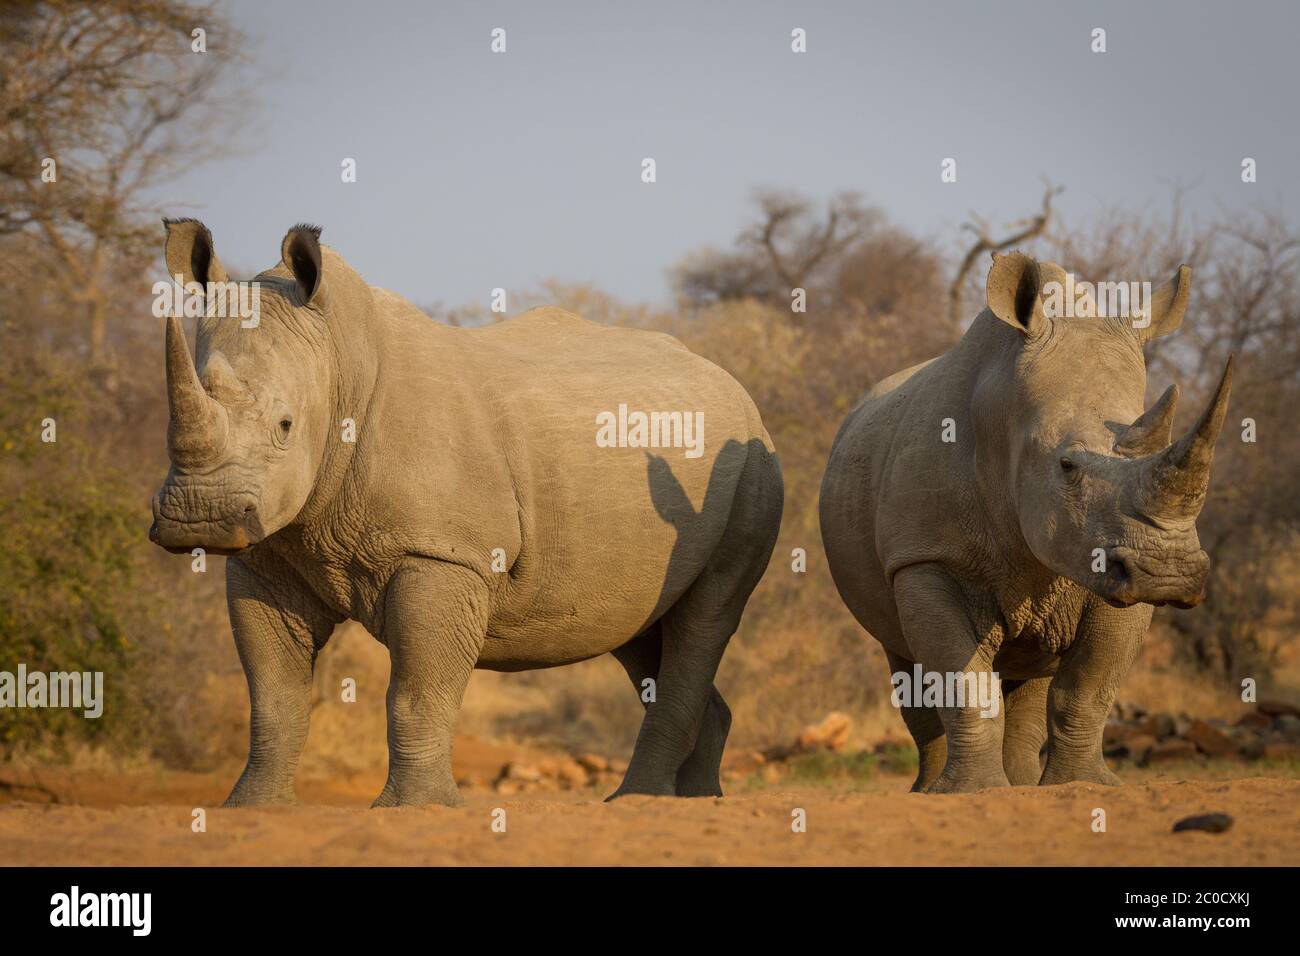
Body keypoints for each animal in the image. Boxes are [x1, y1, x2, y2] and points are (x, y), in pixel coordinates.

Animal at [152, 218, 780, 806]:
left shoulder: (442, 554)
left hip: (751, 469)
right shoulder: (266, 553)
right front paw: (249, 807)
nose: (199, 517)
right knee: (642, 625)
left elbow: (416, 692)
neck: (339, 361)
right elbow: (272, 695)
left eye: (285, 426)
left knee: (706, 616)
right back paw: (695, 799)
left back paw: (637, 800)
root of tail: (736, 387)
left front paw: (414, 808)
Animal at [816, 252, 1232, 790]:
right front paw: (971, 792)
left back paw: (1019, 783)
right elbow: (962, 685)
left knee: (1032, 671)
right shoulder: (925, 558)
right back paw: (931, 790)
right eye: (1067, 466)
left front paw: (1084, 786)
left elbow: (1088, 689)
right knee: (906, 663)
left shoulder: (1113, 565)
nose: (1169, 573)